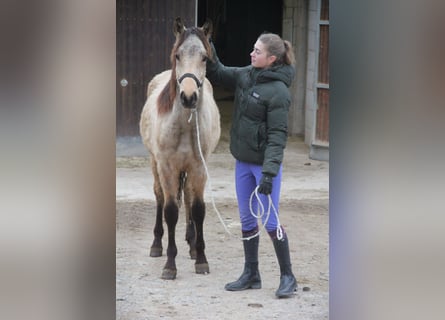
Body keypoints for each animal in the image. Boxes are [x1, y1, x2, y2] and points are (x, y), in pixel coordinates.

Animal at [139, 16, 220, 280]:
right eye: (177, 55)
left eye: (204, 57)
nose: (188, 97)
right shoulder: (166, 167)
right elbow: (170, 210)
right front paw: (170, 265)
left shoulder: (198, 168)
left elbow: (198, 208)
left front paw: (201, 258)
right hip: (155, 164)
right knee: (160, 196)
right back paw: (157, 245)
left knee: (188, 197)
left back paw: (192, 244)